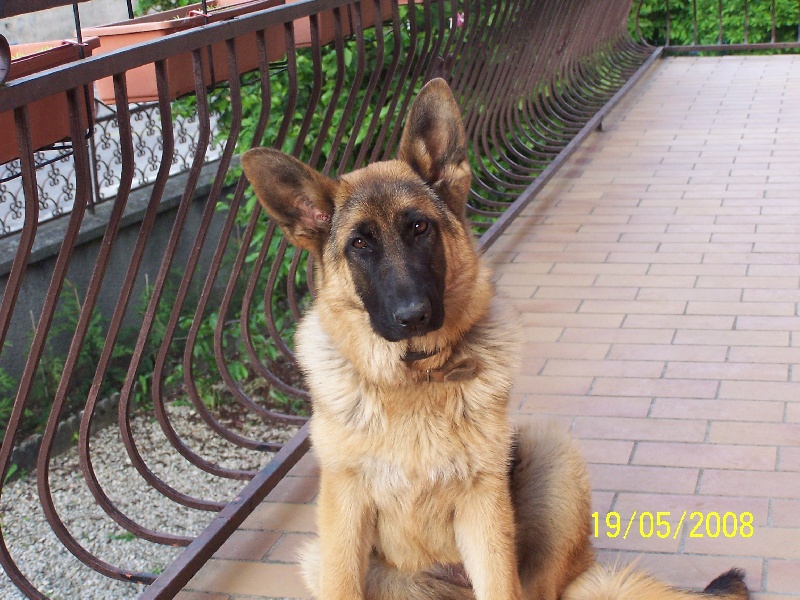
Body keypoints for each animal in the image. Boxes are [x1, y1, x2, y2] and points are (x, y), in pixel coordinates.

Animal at [242, 78, 749, 600]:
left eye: (419, 227)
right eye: (359, 245)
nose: (413, 316)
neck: (415, 379)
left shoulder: (483, 507)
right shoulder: (344, 511)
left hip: (551, 456)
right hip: (318, 555)